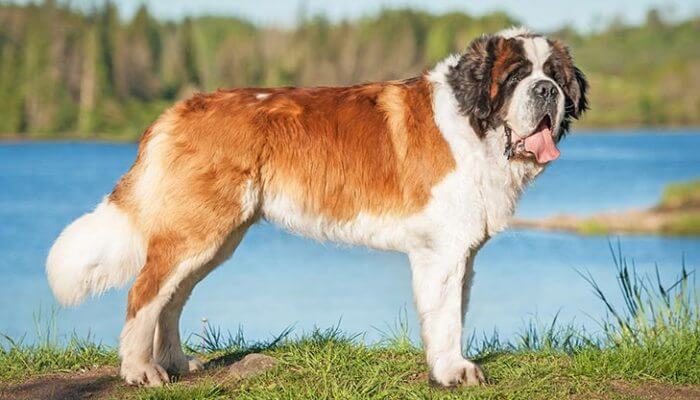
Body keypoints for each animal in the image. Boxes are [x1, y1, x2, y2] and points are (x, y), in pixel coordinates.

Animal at [46, 25, 588, 388]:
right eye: (515, 76)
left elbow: (451, 313)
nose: (546, 91)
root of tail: (178, 109)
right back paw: (141, 370)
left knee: (171, 298)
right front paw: (454, 371)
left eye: (554, 76)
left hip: (216, 238)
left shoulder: (460, 252)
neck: (474, 123)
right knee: (145, 293)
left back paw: (176, 364)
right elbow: (447, 315)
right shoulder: (443, 251)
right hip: (197, 229)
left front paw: (445, 365)